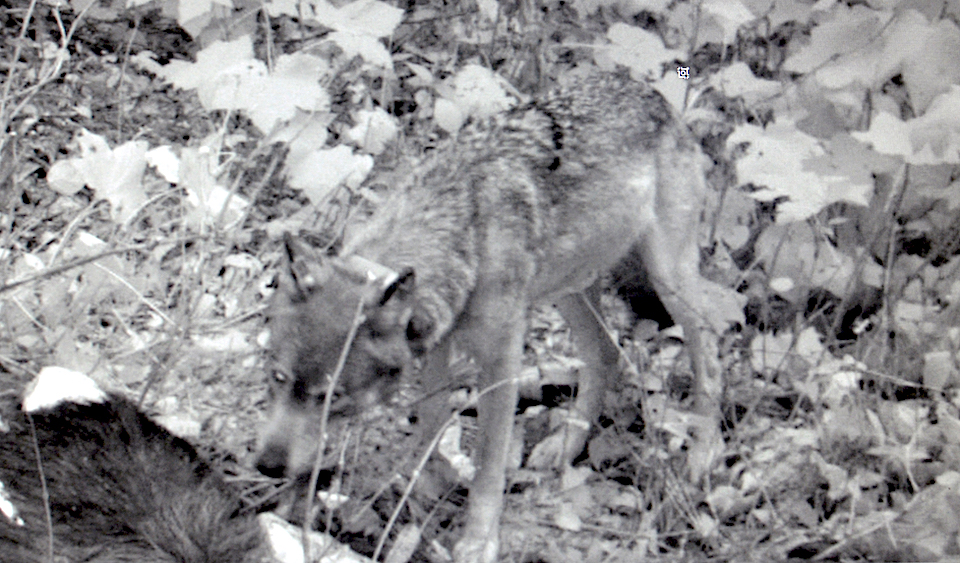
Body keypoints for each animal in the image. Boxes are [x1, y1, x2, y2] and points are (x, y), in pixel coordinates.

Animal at [256, 71, 731, 563]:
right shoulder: (437, 344)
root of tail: (650, 93)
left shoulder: (500, 361)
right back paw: (565, 447)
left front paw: (479, 540)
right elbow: (428, 423)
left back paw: (703, 455)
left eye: (332, 398)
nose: (267, 465)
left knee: (712, 355)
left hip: (668, 279)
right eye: (276, 377)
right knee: (606, 354)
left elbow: (488, 461)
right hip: (568, 291)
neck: (460, 232)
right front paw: (428, 485)